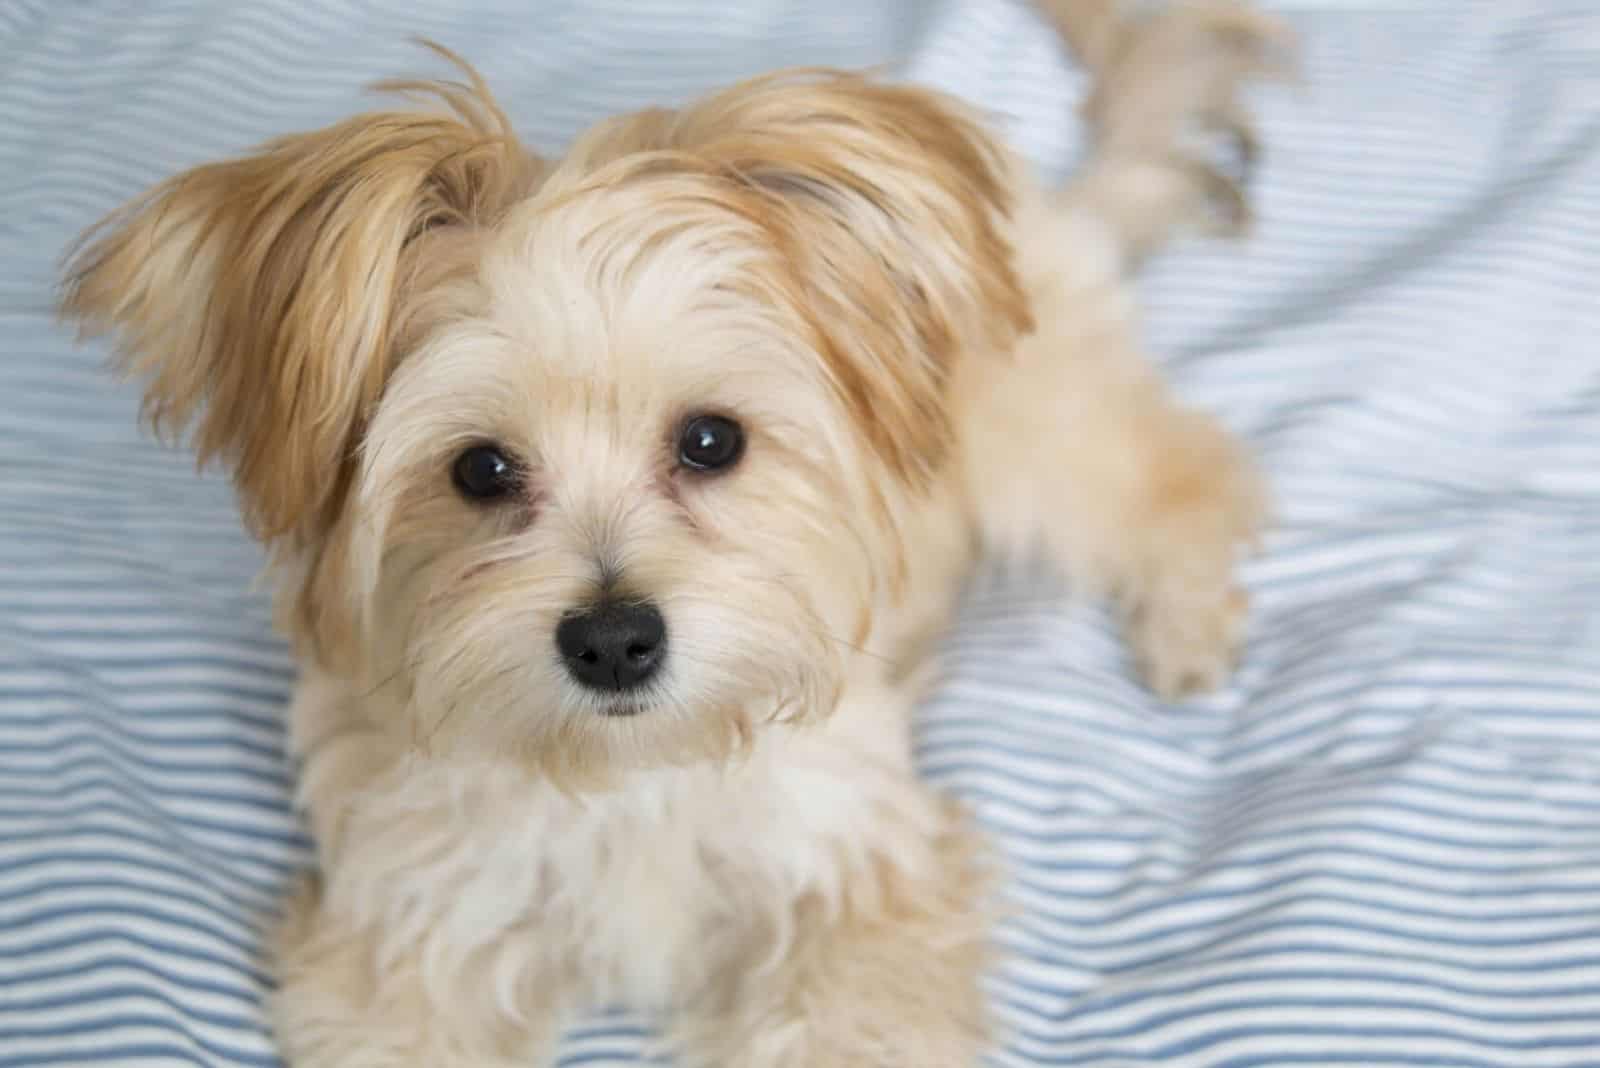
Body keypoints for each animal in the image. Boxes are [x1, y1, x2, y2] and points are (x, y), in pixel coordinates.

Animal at [62, 4, 1292, 1061]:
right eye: (479, 469)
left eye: (711, 441)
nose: (613, 641)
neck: (630, 778)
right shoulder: (403, 937)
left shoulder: (860, 896)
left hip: (1036, 440)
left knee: (1187, 475)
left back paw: (1188, 628)